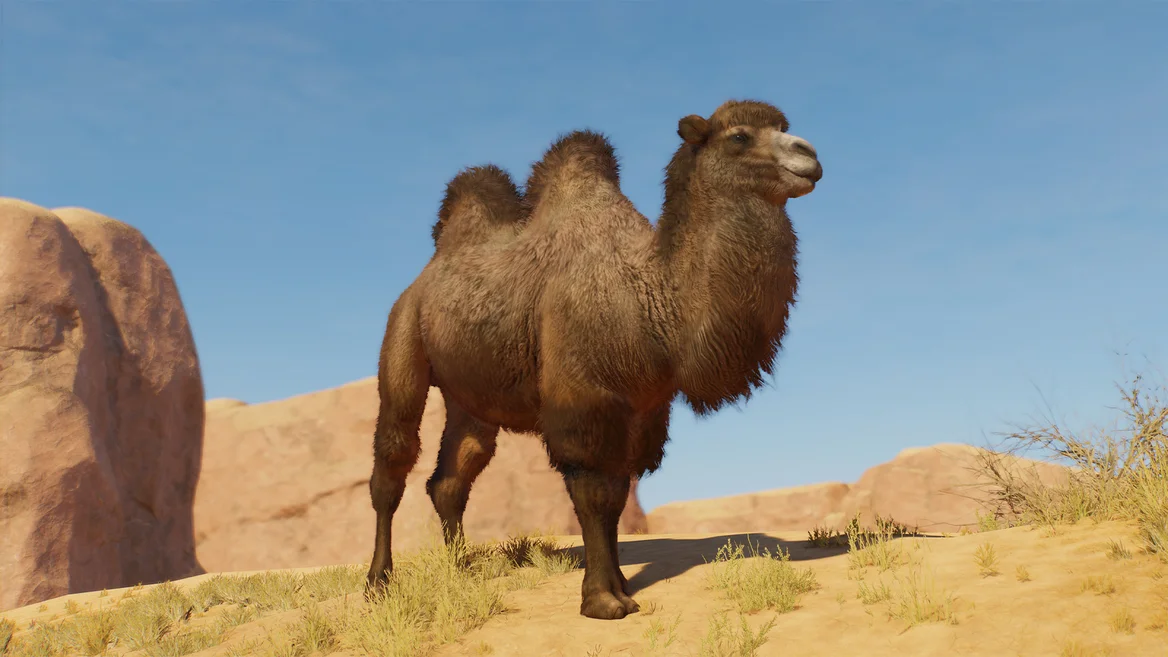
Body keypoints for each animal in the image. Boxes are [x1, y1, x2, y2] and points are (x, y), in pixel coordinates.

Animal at [366, 99, 823, 620]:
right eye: (740, 137)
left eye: (784, 128)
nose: (810, 155)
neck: (650, 298)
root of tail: (423, 279)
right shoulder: (581, 395)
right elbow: (592, 492)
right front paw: (602, 600)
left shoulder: (643, 410)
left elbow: (618, 494)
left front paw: (622, 584)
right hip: (402, 338)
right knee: (393, 460)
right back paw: (379, 583)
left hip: (470, 395)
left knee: (452, 476)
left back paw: (462, 572)